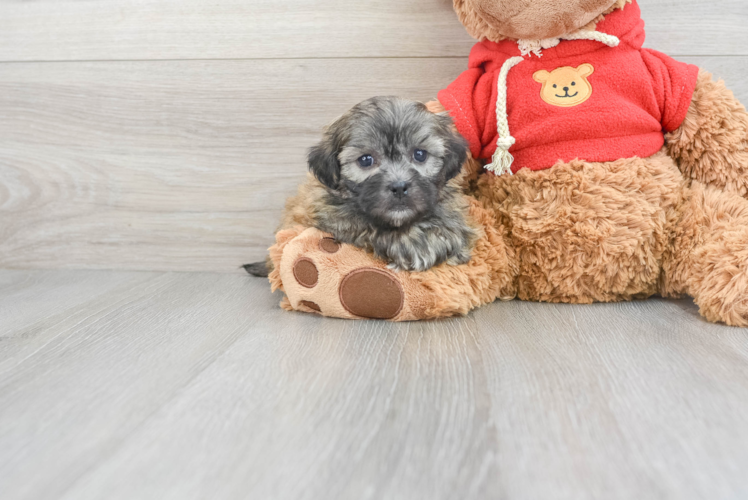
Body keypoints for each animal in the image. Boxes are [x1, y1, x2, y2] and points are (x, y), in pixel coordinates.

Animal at [248, 95, 476, 276]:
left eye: (420, 154)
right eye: (366, 160)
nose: (399, 187)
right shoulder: (330, 214)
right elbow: (362, 223)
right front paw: (413, 243)